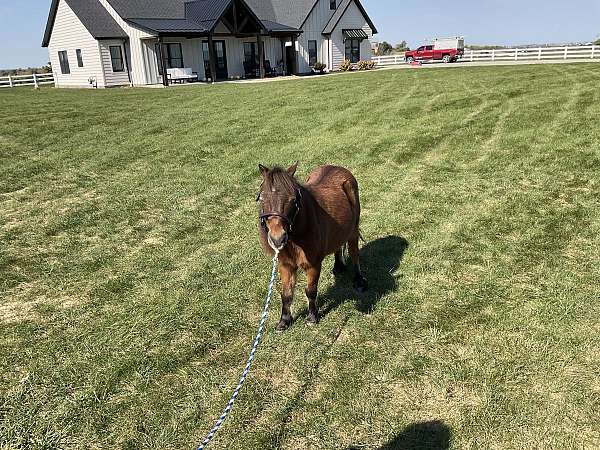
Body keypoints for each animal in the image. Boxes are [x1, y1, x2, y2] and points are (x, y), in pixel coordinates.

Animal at [256, 163, 366, 330]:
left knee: (354, 254)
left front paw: (312, 317)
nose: (277, 239)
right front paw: (284, 321)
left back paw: (359, 281)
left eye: (293, 199)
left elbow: (311, 291)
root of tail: (338, 168)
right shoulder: (285, 265)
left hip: (353, 230)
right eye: (261, 198)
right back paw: (338, 267)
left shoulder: (313, 265)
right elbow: (286, 294)